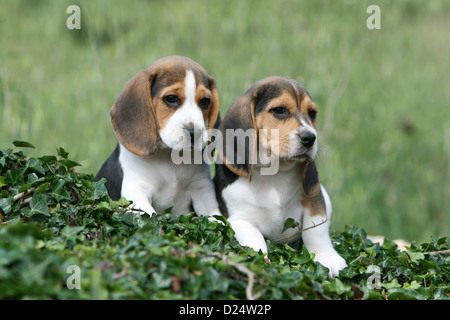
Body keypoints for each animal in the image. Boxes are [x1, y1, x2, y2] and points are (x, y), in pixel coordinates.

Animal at [96, 56, 221, 219]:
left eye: (205, 101)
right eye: (171, 98)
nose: (195, 133)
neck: (168, 157)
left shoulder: (202, 189)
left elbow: (217, 218)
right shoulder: (136, 192)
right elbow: (150, 216)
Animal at [214, 76, 348, 276]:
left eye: (312, 113)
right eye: (279, 110)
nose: (310, 138)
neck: (275, 172)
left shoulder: (314, 201)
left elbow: (316, 231)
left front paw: (327, 258)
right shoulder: (238, 218)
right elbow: (255, 239)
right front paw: (262, 260)